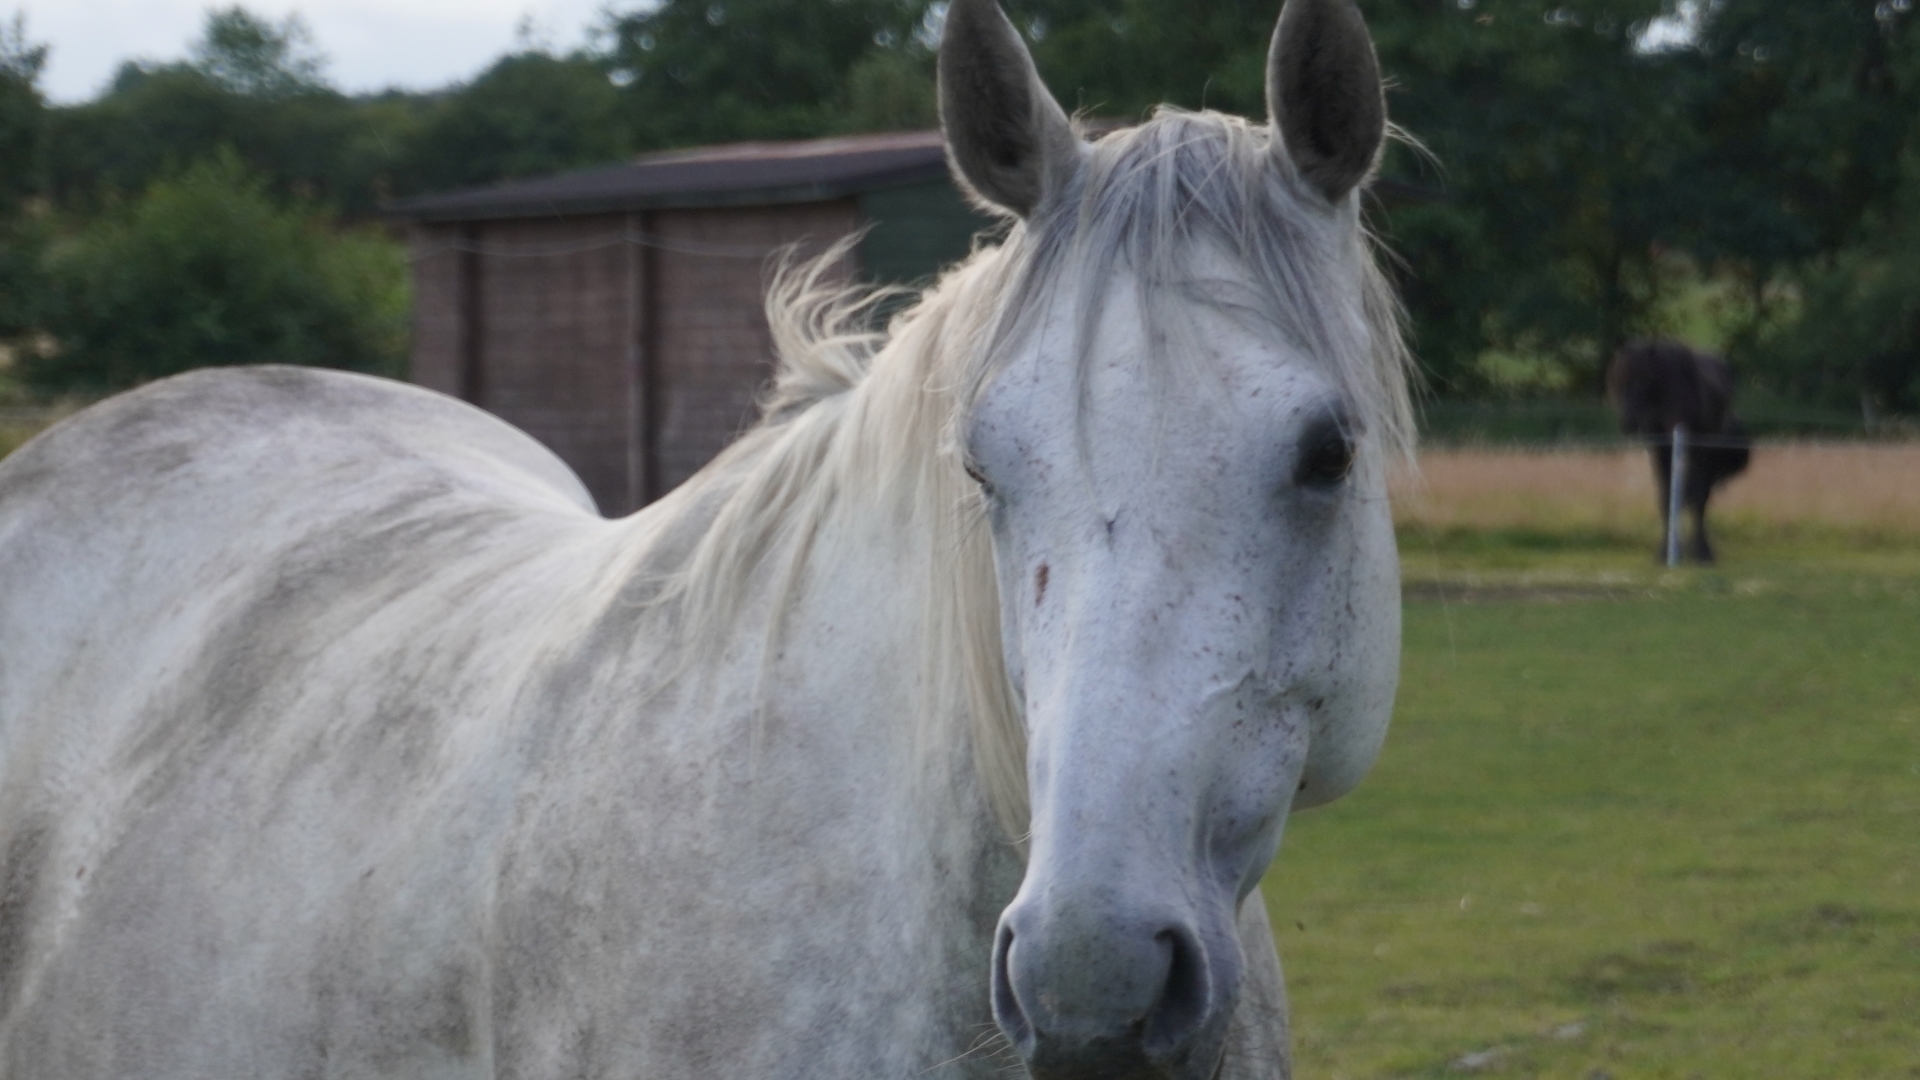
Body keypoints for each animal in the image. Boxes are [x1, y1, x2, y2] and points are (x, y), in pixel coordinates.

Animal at [1607, 339, 1751, 563]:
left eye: (1641, 379)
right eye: (1616, 381)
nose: (1627, 422)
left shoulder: (1697, 450)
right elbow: (1667, 496)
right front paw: (1664, 551)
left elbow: (1697, 497)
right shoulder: (1661, 450)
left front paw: (1702, 552)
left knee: (1699, 495)